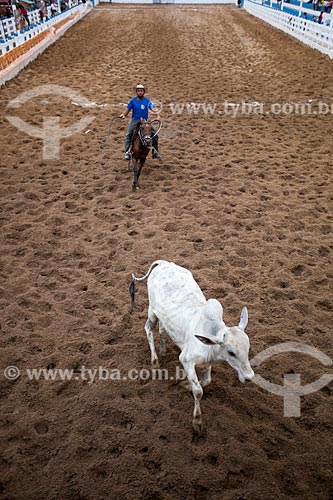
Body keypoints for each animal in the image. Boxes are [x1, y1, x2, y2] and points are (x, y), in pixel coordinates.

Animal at [130, 260, 254, 432]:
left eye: (247, 349)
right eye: (231, 352)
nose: (249, 377)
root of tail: (163, 263)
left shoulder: (207, 362)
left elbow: (206, 381)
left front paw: (185, 385)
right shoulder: (186, 360)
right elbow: (198, 391)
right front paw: (197, 421)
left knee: (162, 327)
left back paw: (163, 349)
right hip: (151, 311)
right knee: (148, 328)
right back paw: (155, 360)